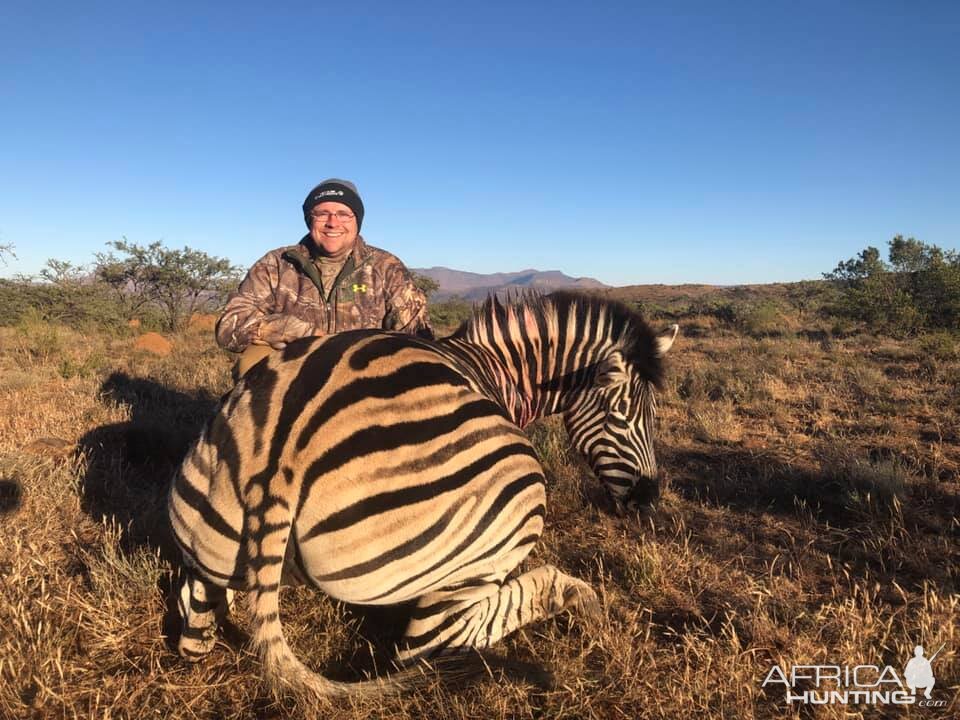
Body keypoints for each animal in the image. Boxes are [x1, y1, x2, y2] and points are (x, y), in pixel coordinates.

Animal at [167, 290, 676, 700]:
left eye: (654, 414)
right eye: (621, 415)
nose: (647, 498)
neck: (496, 371)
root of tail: (282, 458)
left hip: (207, 534)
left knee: (194, 625)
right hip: (512, 508)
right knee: (431, 645)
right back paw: (580, 598)